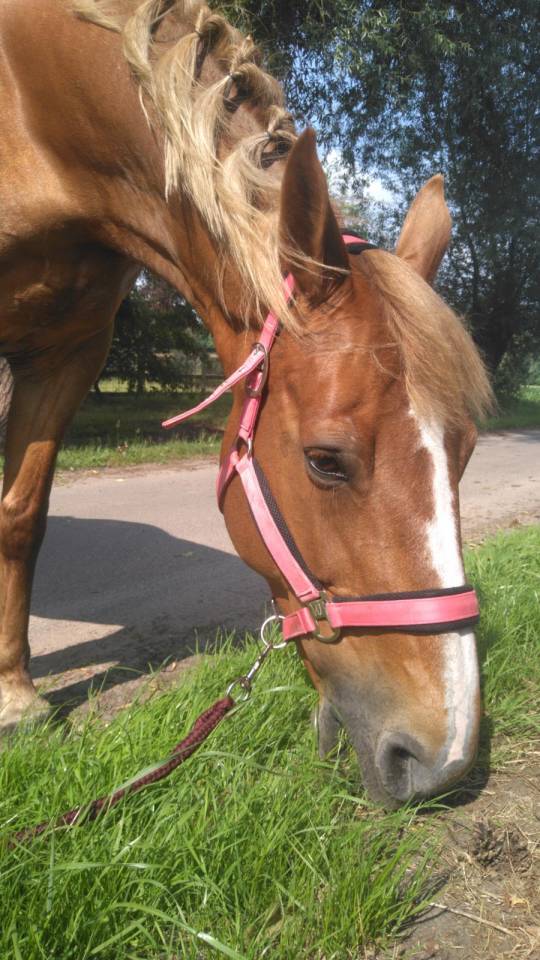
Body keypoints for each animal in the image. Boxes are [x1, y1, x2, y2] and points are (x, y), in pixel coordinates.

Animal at [0, 0, 492, 806]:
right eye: (325, 461)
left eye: (467, 451)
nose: (440, 759)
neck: (38, 115)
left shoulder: (67, 352)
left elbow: (22, 516)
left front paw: (17, 695)